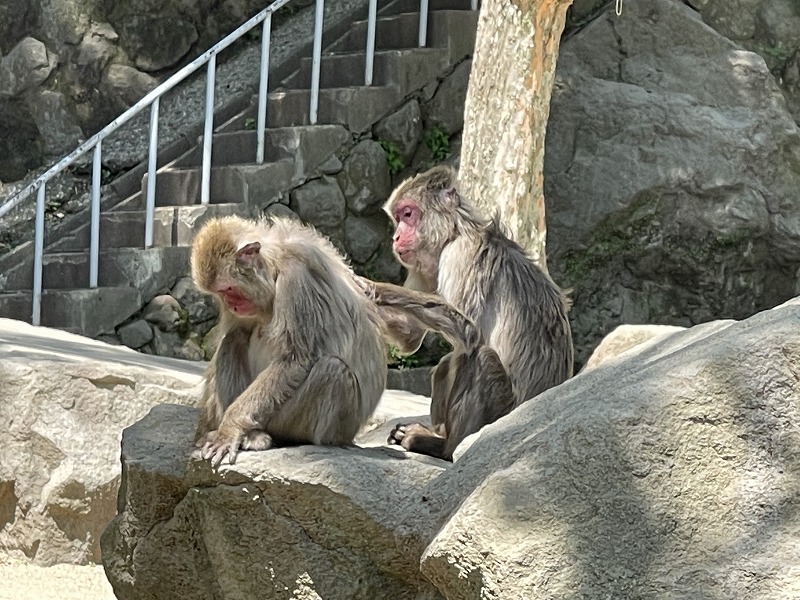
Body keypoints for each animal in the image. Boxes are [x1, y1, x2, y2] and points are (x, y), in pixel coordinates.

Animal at [358, 166, 576, 462]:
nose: (396, 238)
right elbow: (410, 336)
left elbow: (469, 331)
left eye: (408, 214)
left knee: (480, 358)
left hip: (501, 414)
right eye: (399, 218)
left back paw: (443, 448)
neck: (454, 233)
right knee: (449, 362)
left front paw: (372, 288)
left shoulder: (460, 254)